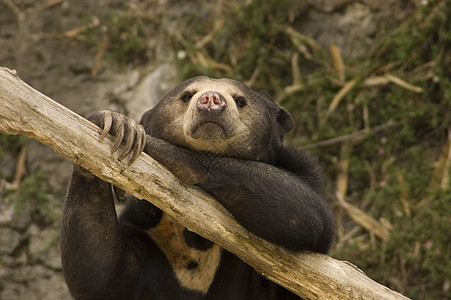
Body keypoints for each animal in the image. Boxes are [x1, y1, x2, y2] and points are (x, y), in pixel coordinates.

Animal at [61, 76, 336, 298]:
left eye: (240, 100)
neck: (196, 243)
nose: (211, 100)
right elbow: (100, 276)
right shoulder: (147, 238)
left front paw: (162, 149)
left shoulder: (301, 172)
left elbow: (307, 213)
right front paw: (117, 124)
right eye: (187, 95)